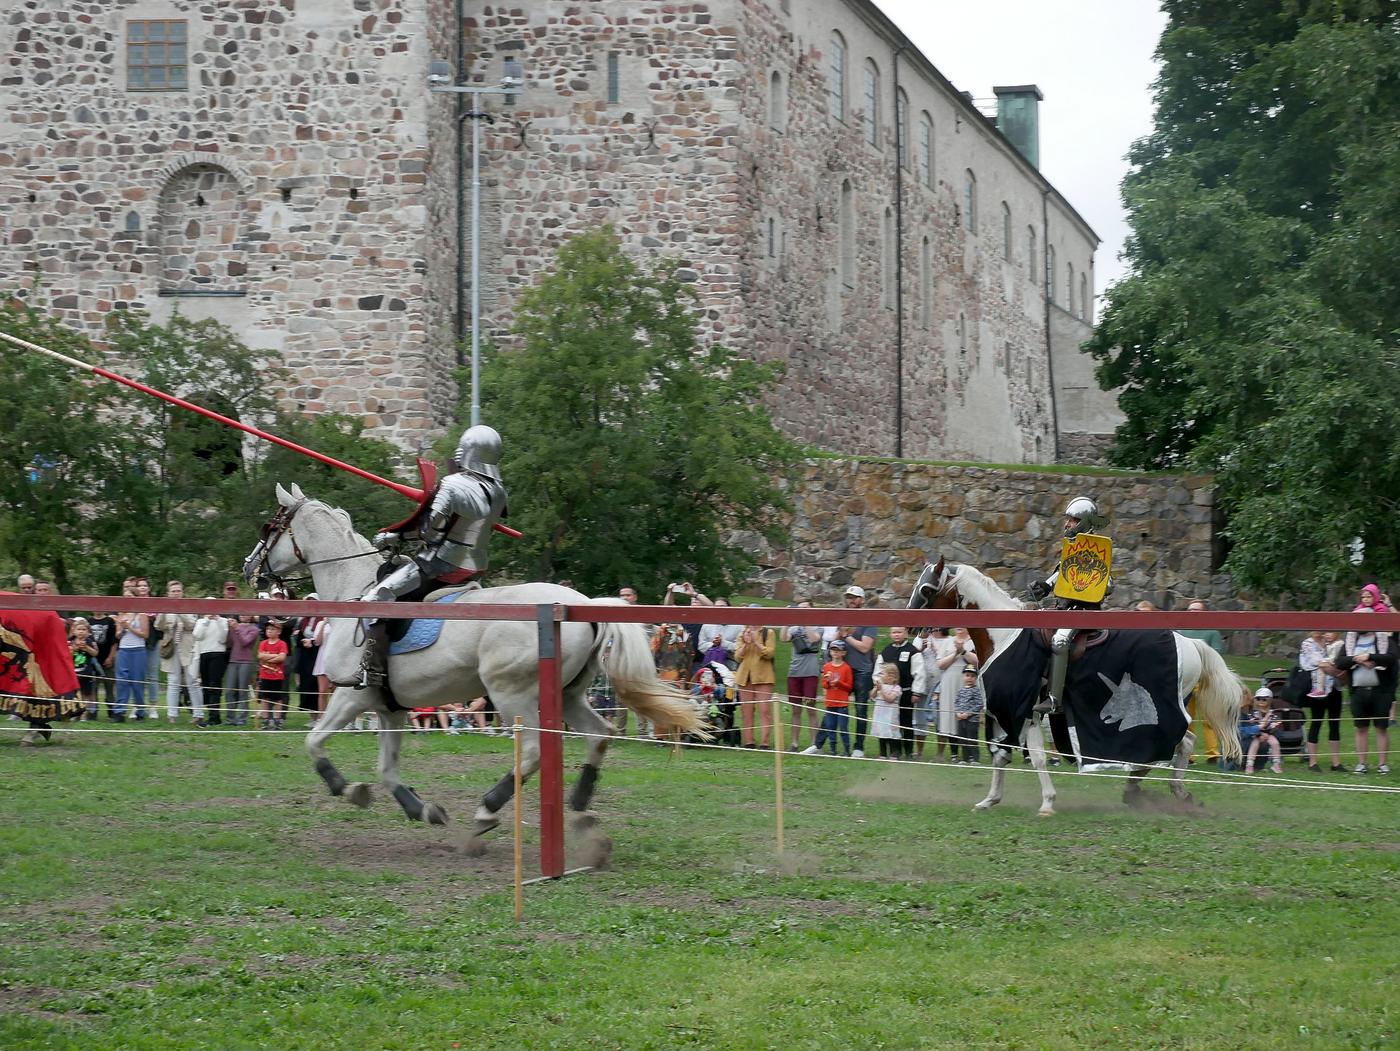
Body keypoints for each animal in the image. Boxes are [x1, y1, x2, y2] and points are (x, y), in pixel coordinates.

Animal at [245, 484, 705, 845]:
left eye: (270, 527)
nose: (251, 569)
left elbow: (314, 741)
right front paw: (422, 809)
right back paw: (579, 804)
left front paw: (345, 787)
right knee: (600, 734)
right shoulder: (390, 707)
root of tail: (581, 604)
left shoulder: (351, 696)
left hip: (511, 691)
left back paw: (488, 809)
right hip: (568, 692)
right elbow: (387, 770)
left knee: (533, 751)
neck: (351, 594)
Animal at [912, 554, 1243, 817]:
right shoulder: (1021, 713)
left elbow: (1035, 758)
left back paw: (1152, 789)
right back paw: (1159, 790)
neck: (1004, 634)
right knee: (1183, 740)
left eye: (927, 589)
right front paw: (990, 799)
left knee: (1176, 741)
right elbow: (1007, 754)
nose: (913, 626)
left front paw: (1047, 803)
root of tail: (1191, 643)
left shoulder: (1021, 709)